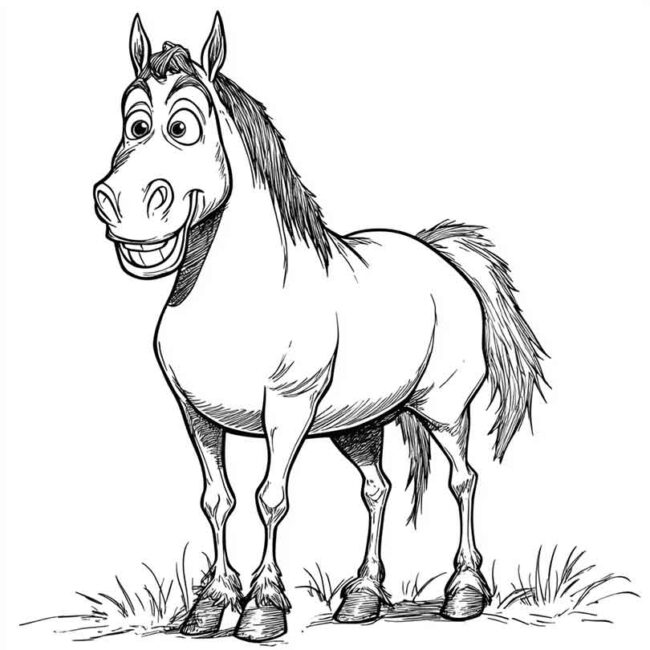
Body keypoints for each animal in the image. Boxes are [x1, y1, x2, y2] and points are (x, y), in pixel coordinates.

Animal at [93, 12, 546, 643]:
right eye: (134, 124)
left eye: (183, 127)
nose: (119, 206)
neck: (239, 297)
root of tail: (439, 254)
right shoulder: (197, 417)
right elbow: (217, 500)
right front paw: (209, 605)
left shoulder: (287, 411)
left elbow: (270, 499)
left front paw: (262, 608)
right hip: (359, 423)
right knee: (377, 490)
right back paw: (362, 596)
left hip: (445, 408)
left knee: (464, 480)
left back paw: (464, 592)